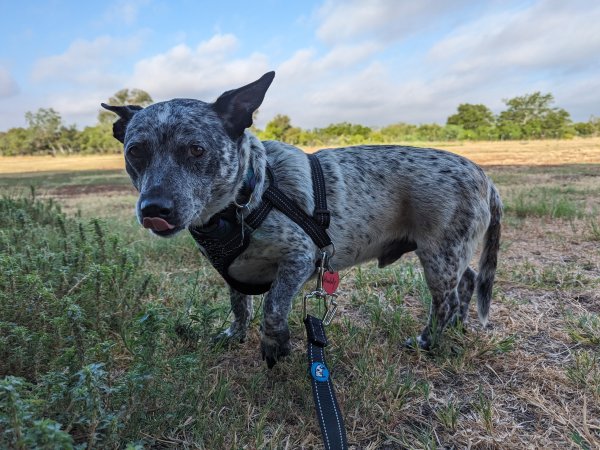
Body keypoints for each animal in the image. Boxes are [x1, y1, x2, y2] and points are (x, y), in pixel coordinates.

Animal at [102, 72, 502, 370]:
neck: (245, 199)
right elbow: (240, 306)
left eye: (196, 150)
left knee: (445, 302)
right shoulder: (234, 273)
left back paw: (428, 341)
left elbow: (273, 307)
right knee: (467, 281)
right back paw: (458, 326)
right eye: (135, 151)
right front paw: (234, 335)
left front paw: (275, 346)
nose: (154, 209)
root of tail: (486, 177)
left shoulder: (299, 260)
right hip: (450, 254)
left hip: (437, 258)